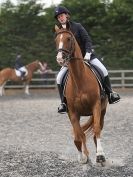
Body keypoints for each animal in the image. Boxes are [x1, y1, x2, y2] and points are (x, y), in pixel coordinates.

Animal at [54, 25, 108, 165]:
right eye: (56, 40)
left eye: (68, 38)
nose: (60, 59)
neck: (79, 79)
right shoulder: (72, 112)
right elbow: (79, 135)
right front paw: (84, 157)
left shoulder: (96, 106)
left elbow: (96, 129)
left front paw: (100, 155)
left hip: (103, 110)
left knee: (96, 131)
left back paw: (101, 157)